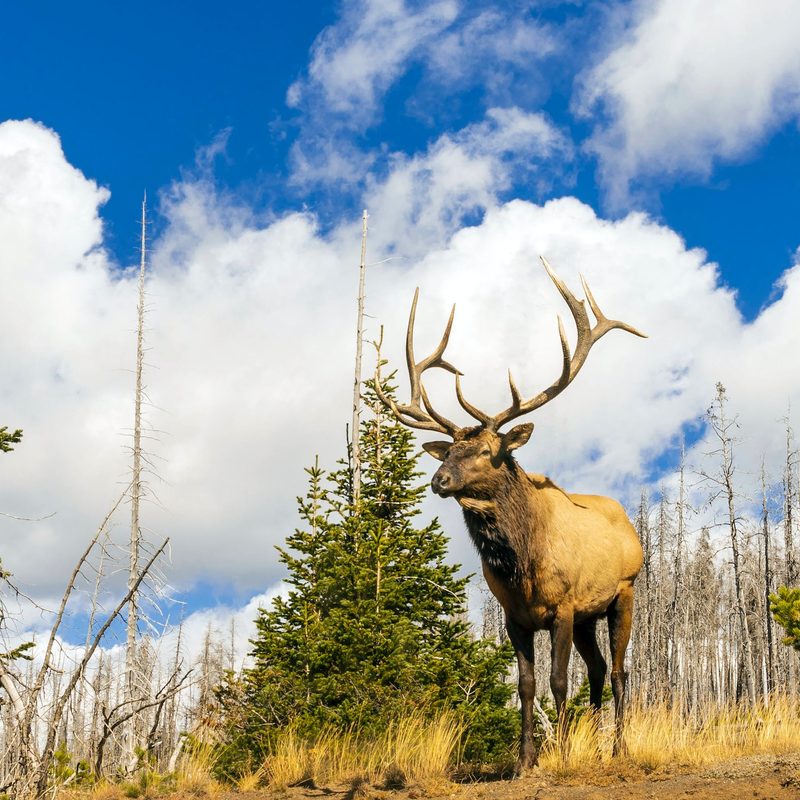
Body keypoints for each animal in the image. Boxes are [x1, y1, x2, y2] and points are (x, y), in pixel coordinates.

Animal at [374, 257, 645, 770]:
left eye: (486, 451)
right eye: (448, 451)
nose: (439, 480)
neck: (523, 564)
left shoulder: (563, 606)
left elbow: (558, 681)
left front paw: (560, 754)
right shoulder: (514, 616)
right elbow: (526, 686)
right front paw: (526, 760)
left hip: (623, 592)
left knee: (620, 670)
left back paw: (619, 748)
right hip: (589, 615)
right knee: (599, 669)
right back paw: (598, 743)